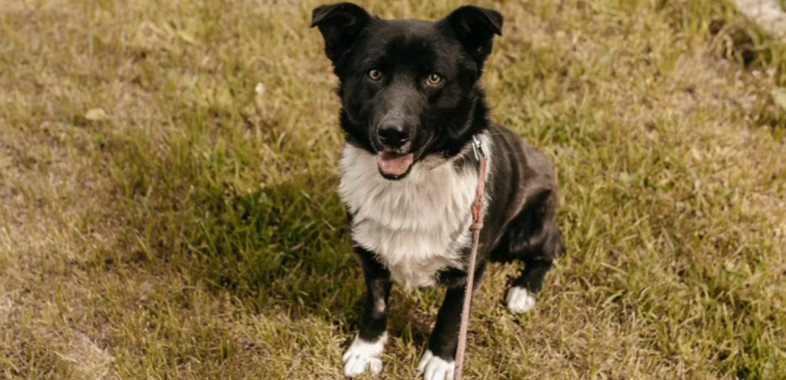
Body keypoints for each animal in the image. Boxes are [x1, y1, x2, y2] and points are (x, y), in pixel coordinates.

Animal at [312, 3, 564, 380]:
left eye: (434, 78)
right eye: (374, 73)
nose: (392, 133)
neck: (411, 184)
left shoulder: (468, 269)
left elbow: (451, 317)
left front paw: (441, 361)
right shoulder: (370, 254)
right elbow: (377, 304)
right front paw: (366, 349)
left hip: (527, 229)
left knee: (552, 247)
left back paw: (523, 292)